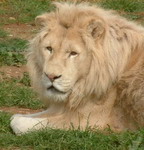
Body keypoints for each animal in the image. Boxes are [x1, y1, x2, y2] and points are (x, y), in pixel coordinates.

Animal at [10, 1, 144, 135]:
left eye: (73, 53)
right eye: (49, 49)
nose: (51, 76)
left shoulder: (89, 120)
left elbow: (18, 122)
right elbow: (18, 116)